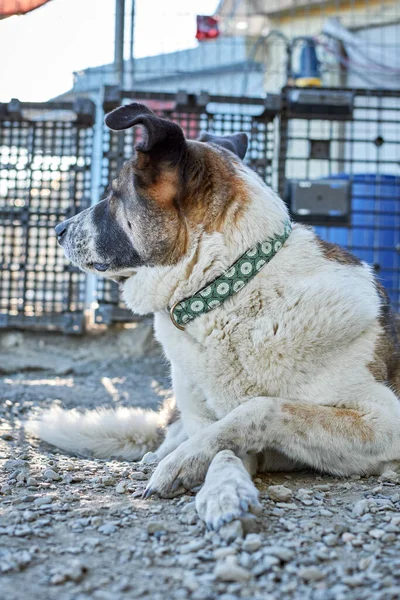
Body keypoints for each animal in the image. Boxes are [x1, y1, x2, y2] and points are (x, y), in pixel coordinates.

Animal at [27, 101, 400, 532]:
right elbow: (223, 443)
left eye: (113, 194)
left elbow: (259, 409)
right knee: (170, 434)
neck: (230, 293)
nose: (57, 229)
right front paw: (214, 483)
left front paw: (195, 469)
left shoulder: (382, 421)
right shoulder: (206, 419)